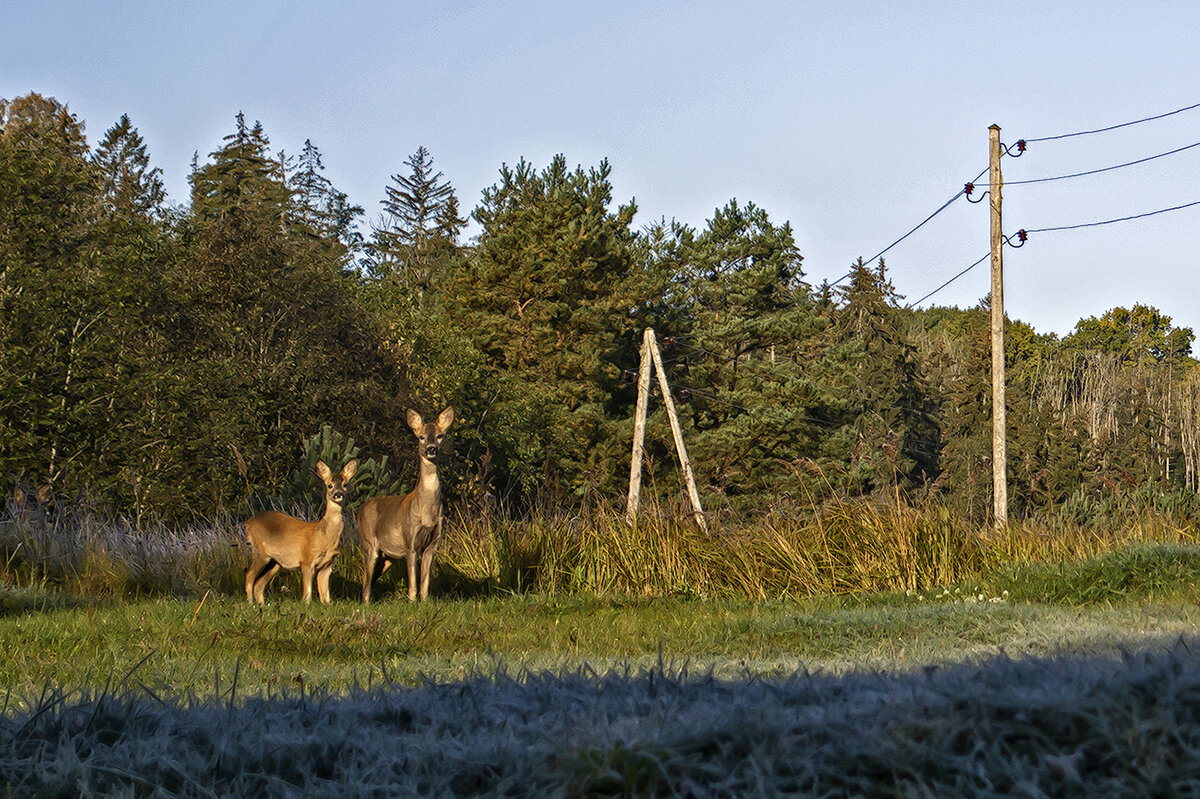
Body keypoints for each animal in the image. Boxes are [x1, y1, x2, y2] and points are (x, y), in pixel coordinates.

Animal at [242, 458, 355, 599]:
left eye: (345, 484)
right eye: (330, 485)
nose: (338, 494)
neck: (323, 535)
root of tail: (248, 522)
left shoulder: (327, 565)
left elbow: (325, 596)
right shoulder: (307, 560)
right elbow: (307, 594)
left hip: (275, 562)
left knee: (258, 584)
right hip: (260, 552)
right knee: (249, 576)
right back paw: (250, 603)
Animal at [355, 407, 453, 599]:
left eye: (440, 435)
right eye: (421, 436)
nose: (431, 449)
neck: (426, 512)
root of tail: (359, 510)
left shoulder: (433, 543)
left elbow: (425, 583)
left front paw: (424, 601)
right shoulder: (410, 541)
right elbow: (412, 583)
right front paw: (412, 601)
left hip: (388, 556)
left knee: (368, 578)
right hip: (369, 544)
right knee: (366, 581)